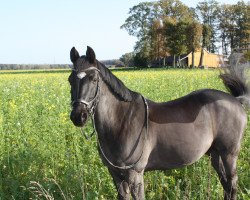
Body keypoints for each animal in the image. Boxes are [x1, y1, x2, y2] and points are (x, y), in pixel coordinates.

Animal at [68, 45, 248, 200]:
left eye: (93, 78)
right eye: (70, 79)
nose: (78, 116)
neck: (121, 121)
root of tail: (236, 100)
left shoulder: (135, 175)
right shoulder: (116, 175)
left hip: (229, 154)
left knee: (232, 184)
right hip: (215, 153)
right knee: (225, 183)